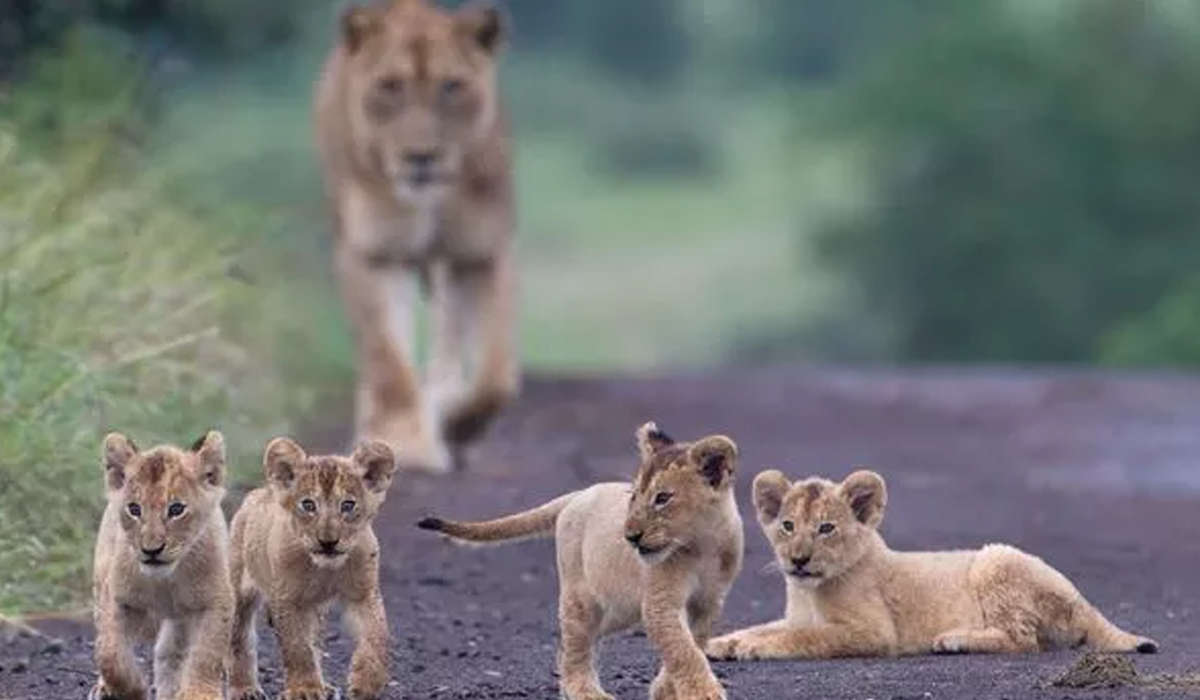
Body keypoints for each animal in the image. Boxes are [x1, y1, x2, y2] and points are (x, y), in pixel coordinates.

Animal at [89, 431, 234, 700]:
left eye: (176, 509)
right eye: (134, 509)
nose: (151, 550)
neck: (165, 581)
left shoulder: (215, 600)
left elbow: (206, 653)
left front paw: (198, 693)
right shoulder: (117, 599)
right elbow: (110, 653)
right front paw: (131, 690)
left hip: (180, 618)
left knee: (170, 652)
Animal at [227, 437, 398, 700]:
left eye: (348, 505)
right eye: (308, 505)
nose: (328, 542)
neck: (325, 568)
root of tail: (258, 492)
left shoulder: (363, 593)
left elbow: (377, 634)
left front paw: (366, 682)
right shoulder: (288, 599)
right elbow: (298, 647)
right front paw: (305, 689)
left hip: (315, 608)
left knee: (316, 640)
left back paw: (325, 687)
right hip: (239, 590)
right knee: (240, 639)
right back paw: (244, 689)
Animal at [313, 0, 518, 475]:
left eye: (452, 86)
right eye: (390, 86)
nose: (421, 157)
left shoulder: (482, 253)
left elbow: (497, 377)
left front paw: (459, 424)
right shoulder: (373, 255)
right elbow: (390, 363)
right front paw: (407, 444)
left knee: (449, 340)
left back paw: (444, 398)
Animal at [417, 422, 744, 700]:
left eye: (662, 498)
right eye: (634, 497)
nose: (630, 536)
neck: (702, 545)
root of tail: (576, 495)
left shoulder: (709, 602)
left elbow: (692, 644)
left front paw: (665, 688)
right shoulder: (660, 603)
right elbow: (681, 649)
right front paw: (704, 693)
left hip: (617, 608)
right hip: (582, 598)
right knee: (576, 646)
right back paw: (586, 692)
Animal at [705, 468, 1160, 661]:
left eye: (826, 528)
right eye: (787, 525)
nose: (798, 560)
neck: (809, 589)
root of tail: (1083, 600)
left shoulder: (873, 632)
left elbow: (806, 637)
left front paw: (752, 648)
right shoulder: (796, 614)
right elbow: (769, 627)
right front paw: (722, 643)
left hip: (996, 558)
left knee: (1024, 640)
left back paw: (954, 639)